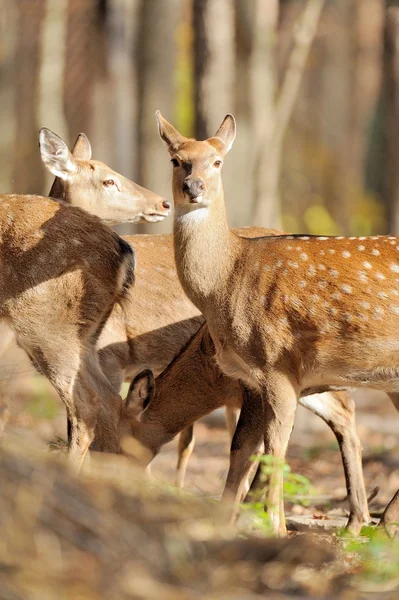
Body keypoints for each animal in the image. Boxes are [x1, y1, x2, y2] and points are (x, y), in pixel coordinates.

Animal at [153, 111, 399, 536]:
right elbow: (246, 447)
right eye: (176, 160)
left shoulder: (280, 365)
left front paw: (274, 527)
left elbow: (276, 447)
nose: (192, 187)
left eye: (217, 162)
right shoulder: (255, 379)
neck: (227, 282)